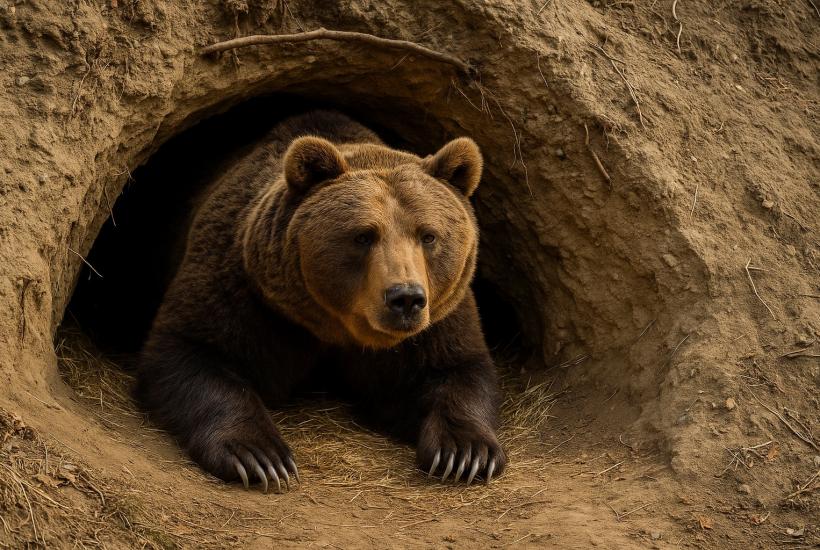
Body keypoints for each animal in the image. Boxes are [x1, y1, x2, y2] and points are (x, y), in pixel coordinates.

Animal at [135, 110, 506, 492]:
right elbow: (190, 351)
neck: (337, 328)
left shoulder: (438, 319)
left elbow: (457, 370)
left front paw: (465, 454)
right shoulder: (243, 291)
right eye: (364, 235)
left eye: (428, 235)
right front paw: (260, 456)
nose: (405, 298)